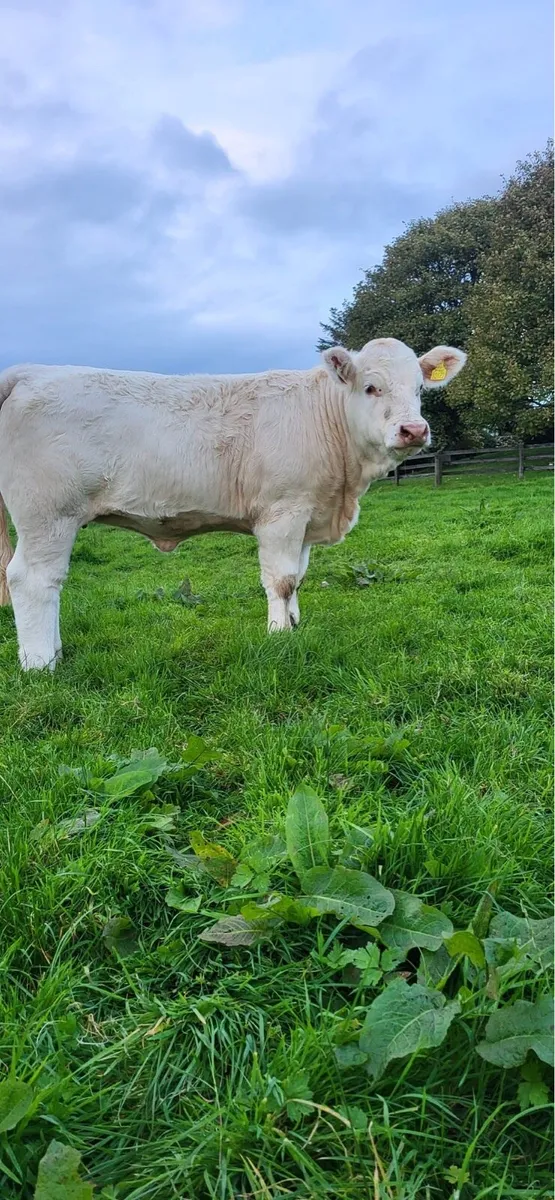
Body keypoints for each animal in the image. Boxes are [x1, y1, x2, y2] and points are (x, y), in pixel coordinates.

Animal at [0, 337, 466, 670]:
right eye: (371, 387)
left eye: (420, 389)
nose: (413, 430)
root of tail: (29, 372)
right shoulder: (281, 512)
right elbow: (281, 580)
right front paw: (279, 636)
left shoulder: (306, 516)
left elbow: (298, 578)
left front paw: (294, 624)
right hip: (47, 514)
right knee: (33, 580)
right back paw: (41, 664)